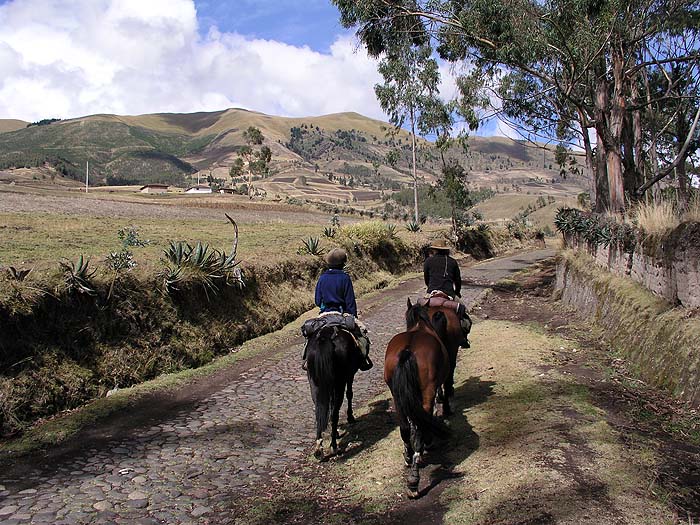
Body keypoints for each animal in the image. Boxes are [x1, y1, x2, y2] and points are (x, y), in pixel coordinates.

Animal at [306, 326, 360, 456]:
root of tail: (324, 337)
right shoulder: (349, 376)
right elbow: (349, 394)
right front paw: (350, 417)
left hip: (315, 383)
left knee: (319, 410)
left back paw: (319, 447)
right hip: (340, 382)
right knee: (335, 412)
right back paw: (334, 446)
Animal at [386, 298, 452, 496]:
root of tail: (408, 350)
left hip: (396, 395)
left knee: (405, 427)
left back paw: (408, 457)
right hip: (427, 390)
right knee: (421, 425)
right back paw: (414, 478)